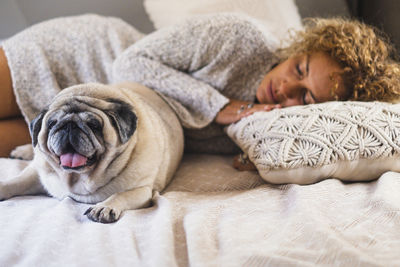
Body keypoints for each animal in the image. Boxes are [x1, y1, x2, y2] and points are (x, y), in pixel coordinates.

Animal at [0, 82, 184, 224]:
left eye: (94, 125)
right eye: (52, 124)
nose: (69, 126)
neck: (76, 178)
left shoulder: (142, 191)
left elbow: (120, 195)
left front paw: (104, 207)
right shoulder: (38, 173)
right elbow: (17, 181)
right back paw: (22, 151)